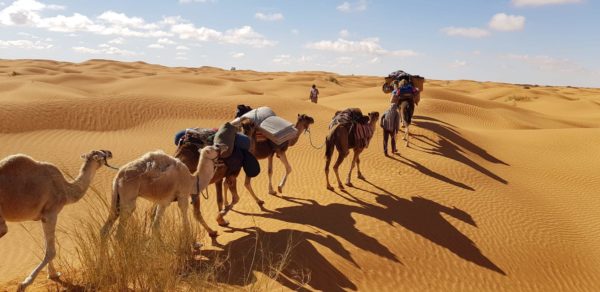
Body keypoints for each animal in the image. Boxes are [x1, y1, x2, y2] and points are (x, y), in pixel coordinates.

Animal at [0, 149, 113, 290]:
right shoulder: (51, 213)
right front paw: (24, 284)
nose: (110, 152)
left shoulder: (43, 217)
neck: (66, 190)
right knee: (4, 230)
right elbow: (51, 251)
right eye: (102, 155)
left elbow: (46, 247)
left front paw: (53, 274)